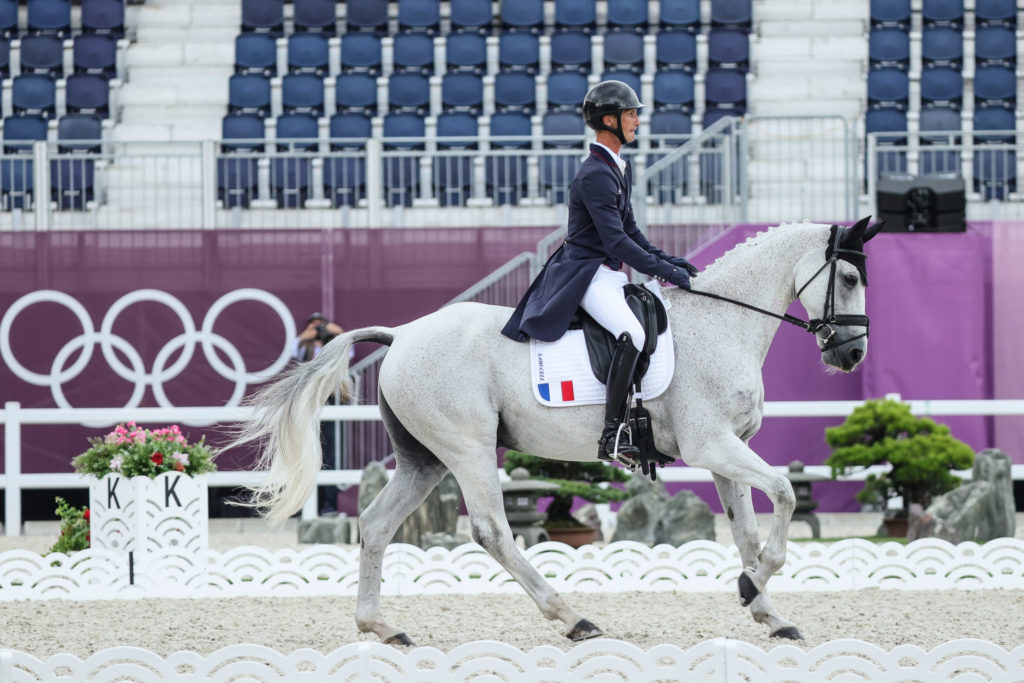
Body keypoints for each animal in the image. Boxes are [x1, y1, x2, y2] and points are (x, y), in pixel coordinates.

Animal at [230, 218, 880, 647]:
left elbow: (747, 533)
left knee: (376, 524)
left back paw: (381, 627)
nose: (851, 355)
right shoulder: (711, 445)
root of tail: (403, 333)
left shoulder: (727, 452)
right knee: (492, 531)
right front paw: (753, 591)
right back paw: (573, 618)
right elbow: (788, 495)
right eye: (848, 276)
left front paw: (766, 610)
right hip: (467, 448)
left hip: (424, 459)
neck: (723, 324)